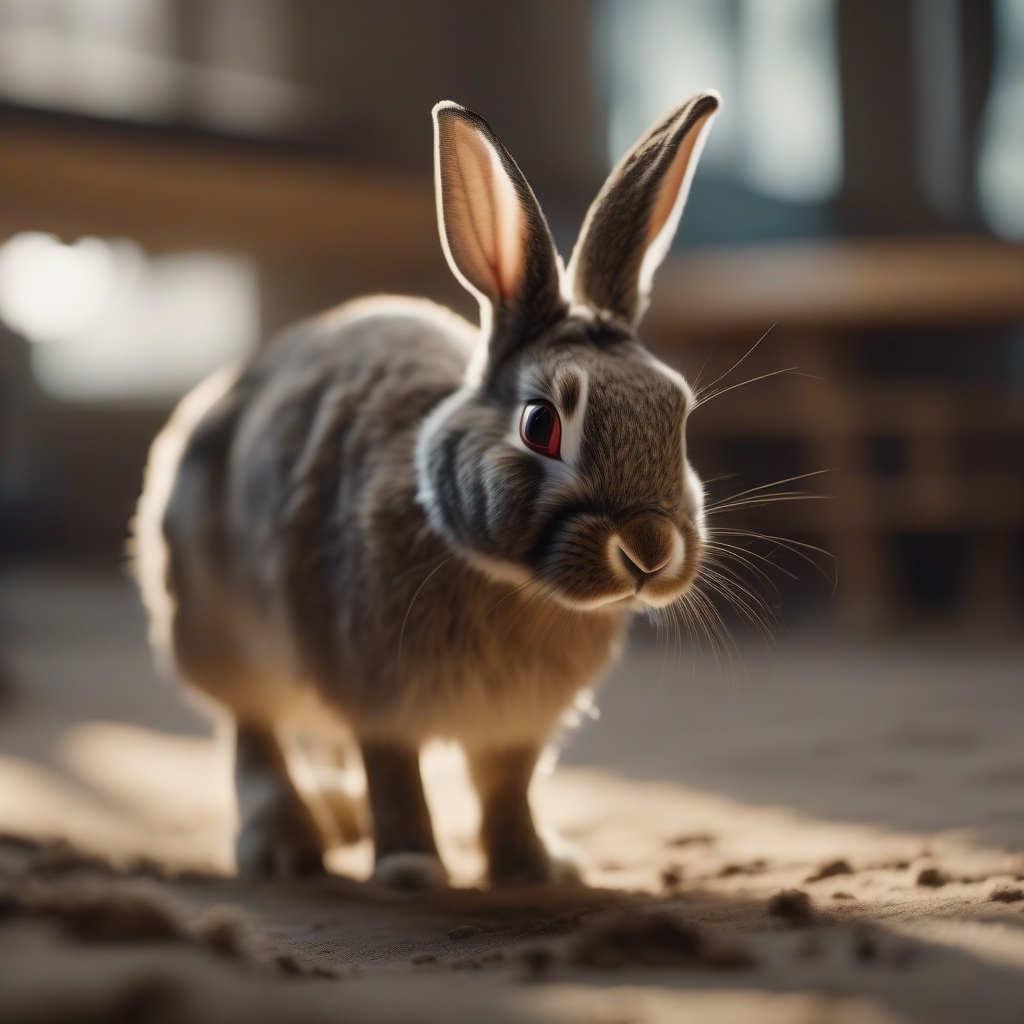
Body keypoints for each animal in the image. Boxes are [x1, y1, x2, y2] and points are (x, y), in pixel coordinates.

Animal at [133, 90, 720, 889]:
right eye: (541, 424)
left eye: (678, 413)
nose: (650, 550)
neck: (512, 584)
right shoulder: (375, 692)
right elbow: (396, 776)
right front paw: (411, 870)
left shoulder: (515, 728)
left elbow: (507, 787)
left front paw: (535, 868)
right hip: (218, 632)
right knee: (255, 736)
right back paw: (286, 844)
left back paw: (339, 818)